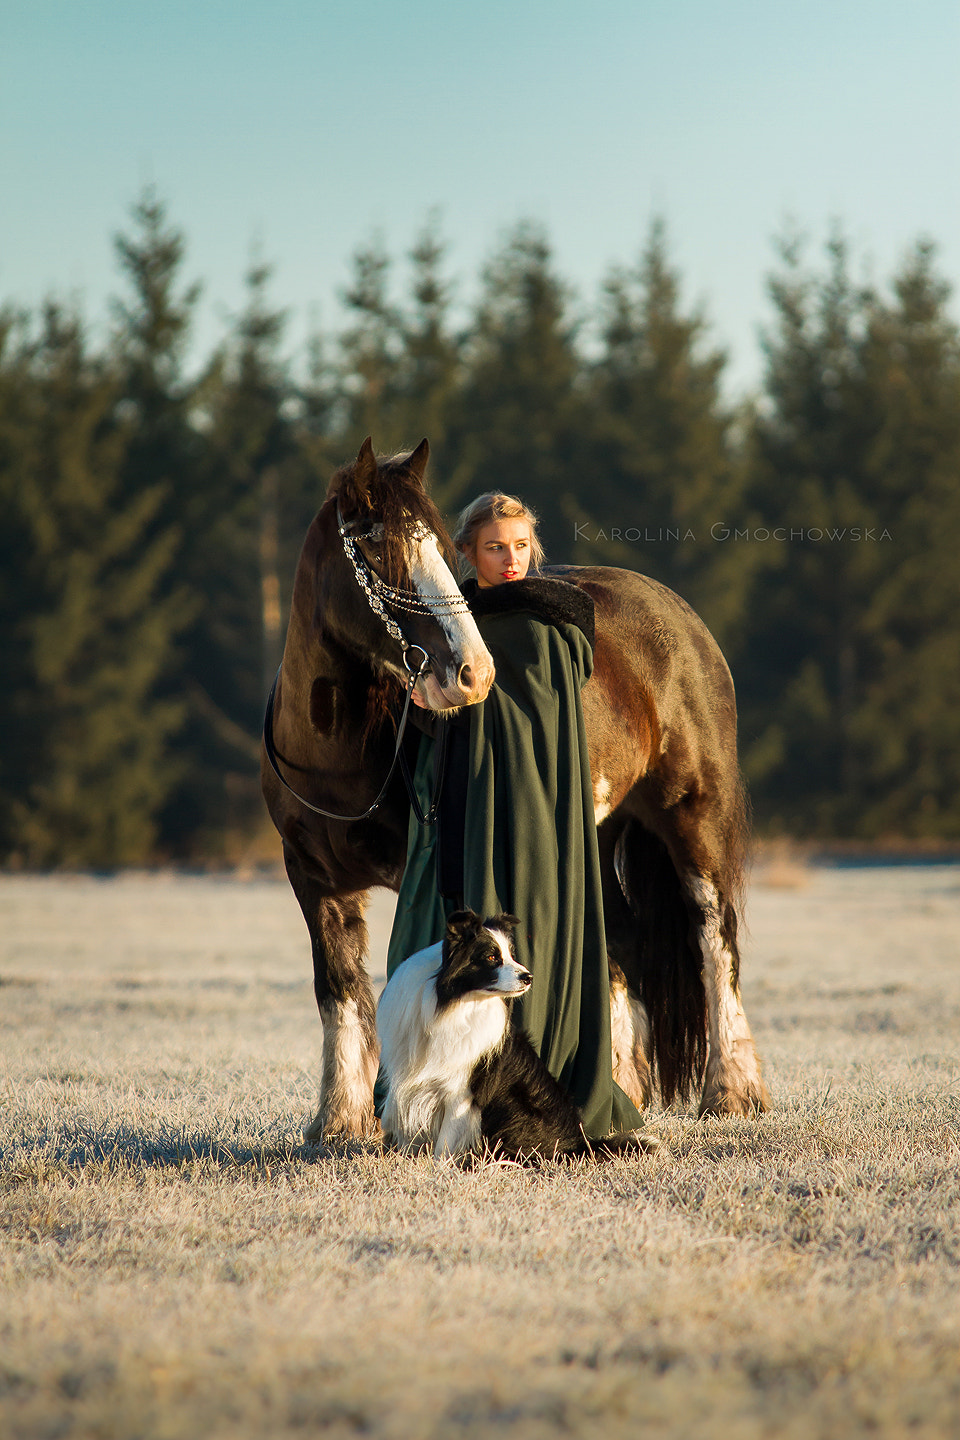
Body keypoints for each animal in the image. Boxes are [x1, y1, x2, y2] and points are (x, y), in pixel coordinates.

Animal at [259, 432, 771, 1140]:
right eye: (375, 546)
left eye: (441, 547)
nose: (470, 672)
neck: (337, 758)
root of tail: (677, 615)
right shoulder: (314, 881)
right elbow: (337, 992)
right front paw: (339, 1124)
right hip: (593, 837)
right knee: (618, 945)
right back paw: (618, 1089)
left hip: (695, 817)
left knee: (714, 936)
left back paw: (733, 1091)